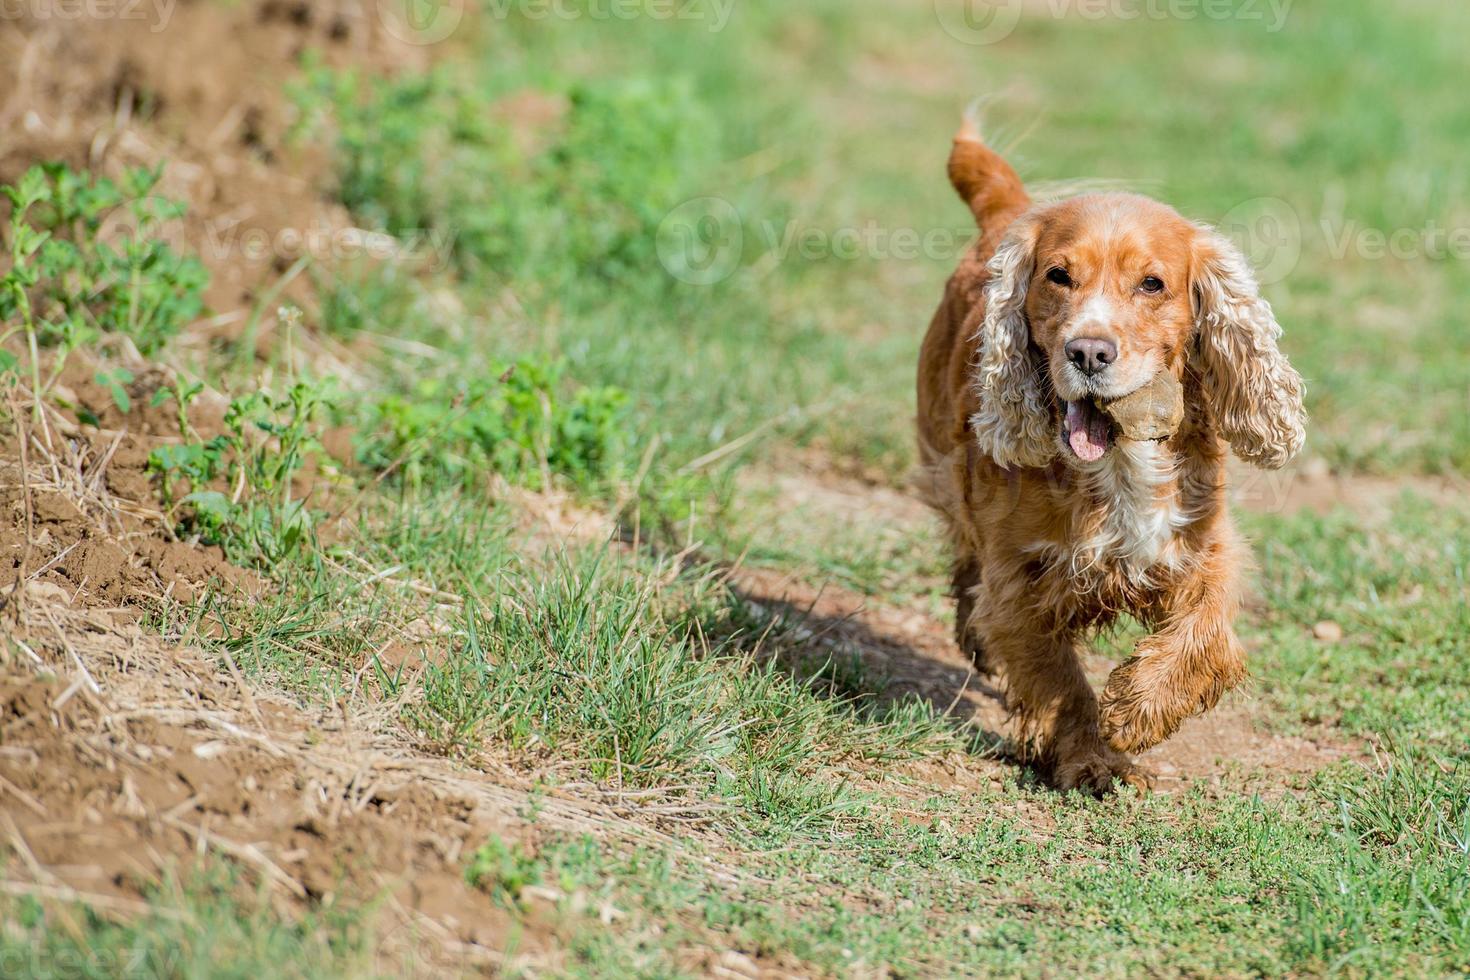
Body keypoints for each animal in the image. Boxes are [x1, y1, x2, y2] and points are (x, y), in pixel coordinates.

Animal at [917, 119, 1311, 793]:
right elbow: (1059, 681)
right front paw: (1093, 758)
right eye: (1058, 276)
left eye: (1152, 284)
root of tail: (1009, 213)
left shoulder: (1204, 546)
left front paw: (1138, 709)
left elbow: (1206, 633)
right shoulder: (1020, 579)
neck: (1121, 464)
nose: (1088, 352)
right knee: (966, 554)